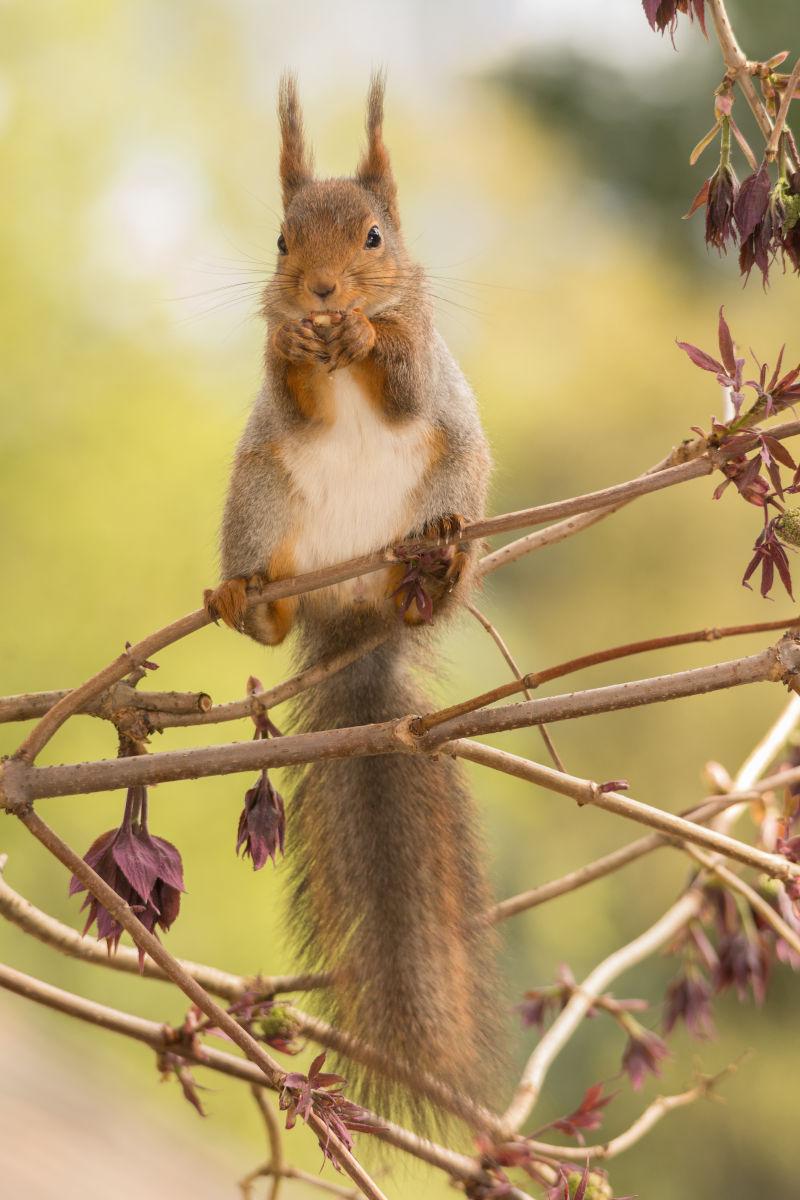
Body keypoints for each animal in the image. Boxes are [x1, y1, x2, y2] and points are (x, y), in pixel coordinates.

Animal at [206, 72, 501, 1123]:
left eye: (374, 237)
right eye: (283, 240)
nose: (321, 293)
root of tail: (355, 624)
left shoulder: (423, 358)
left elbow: (402, 384)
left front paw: (367, 333)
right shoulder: (280, 385)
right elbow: (294, 390)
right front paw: (303, 341)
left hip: (456, 482)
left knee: (436, 558)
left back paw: (431, 578)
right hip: (260, 496)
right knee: (268, 594)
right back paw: (256, 601)